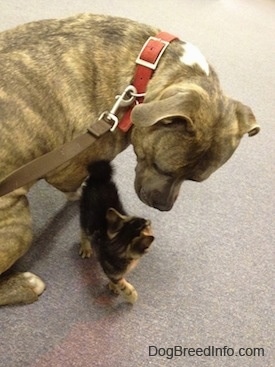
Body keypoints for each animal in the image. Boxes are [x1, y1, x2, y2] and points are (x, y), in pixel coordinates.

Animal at [79, 161, 155, 304]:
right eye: (147, 226)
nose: (149, 220)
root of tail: (99, 179)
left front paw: (113, 286)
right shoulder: (112, 271)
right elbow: (120, 281)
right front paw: (131, 294)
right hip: (86, 214)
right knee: (83, 230)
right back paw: (86, 248)